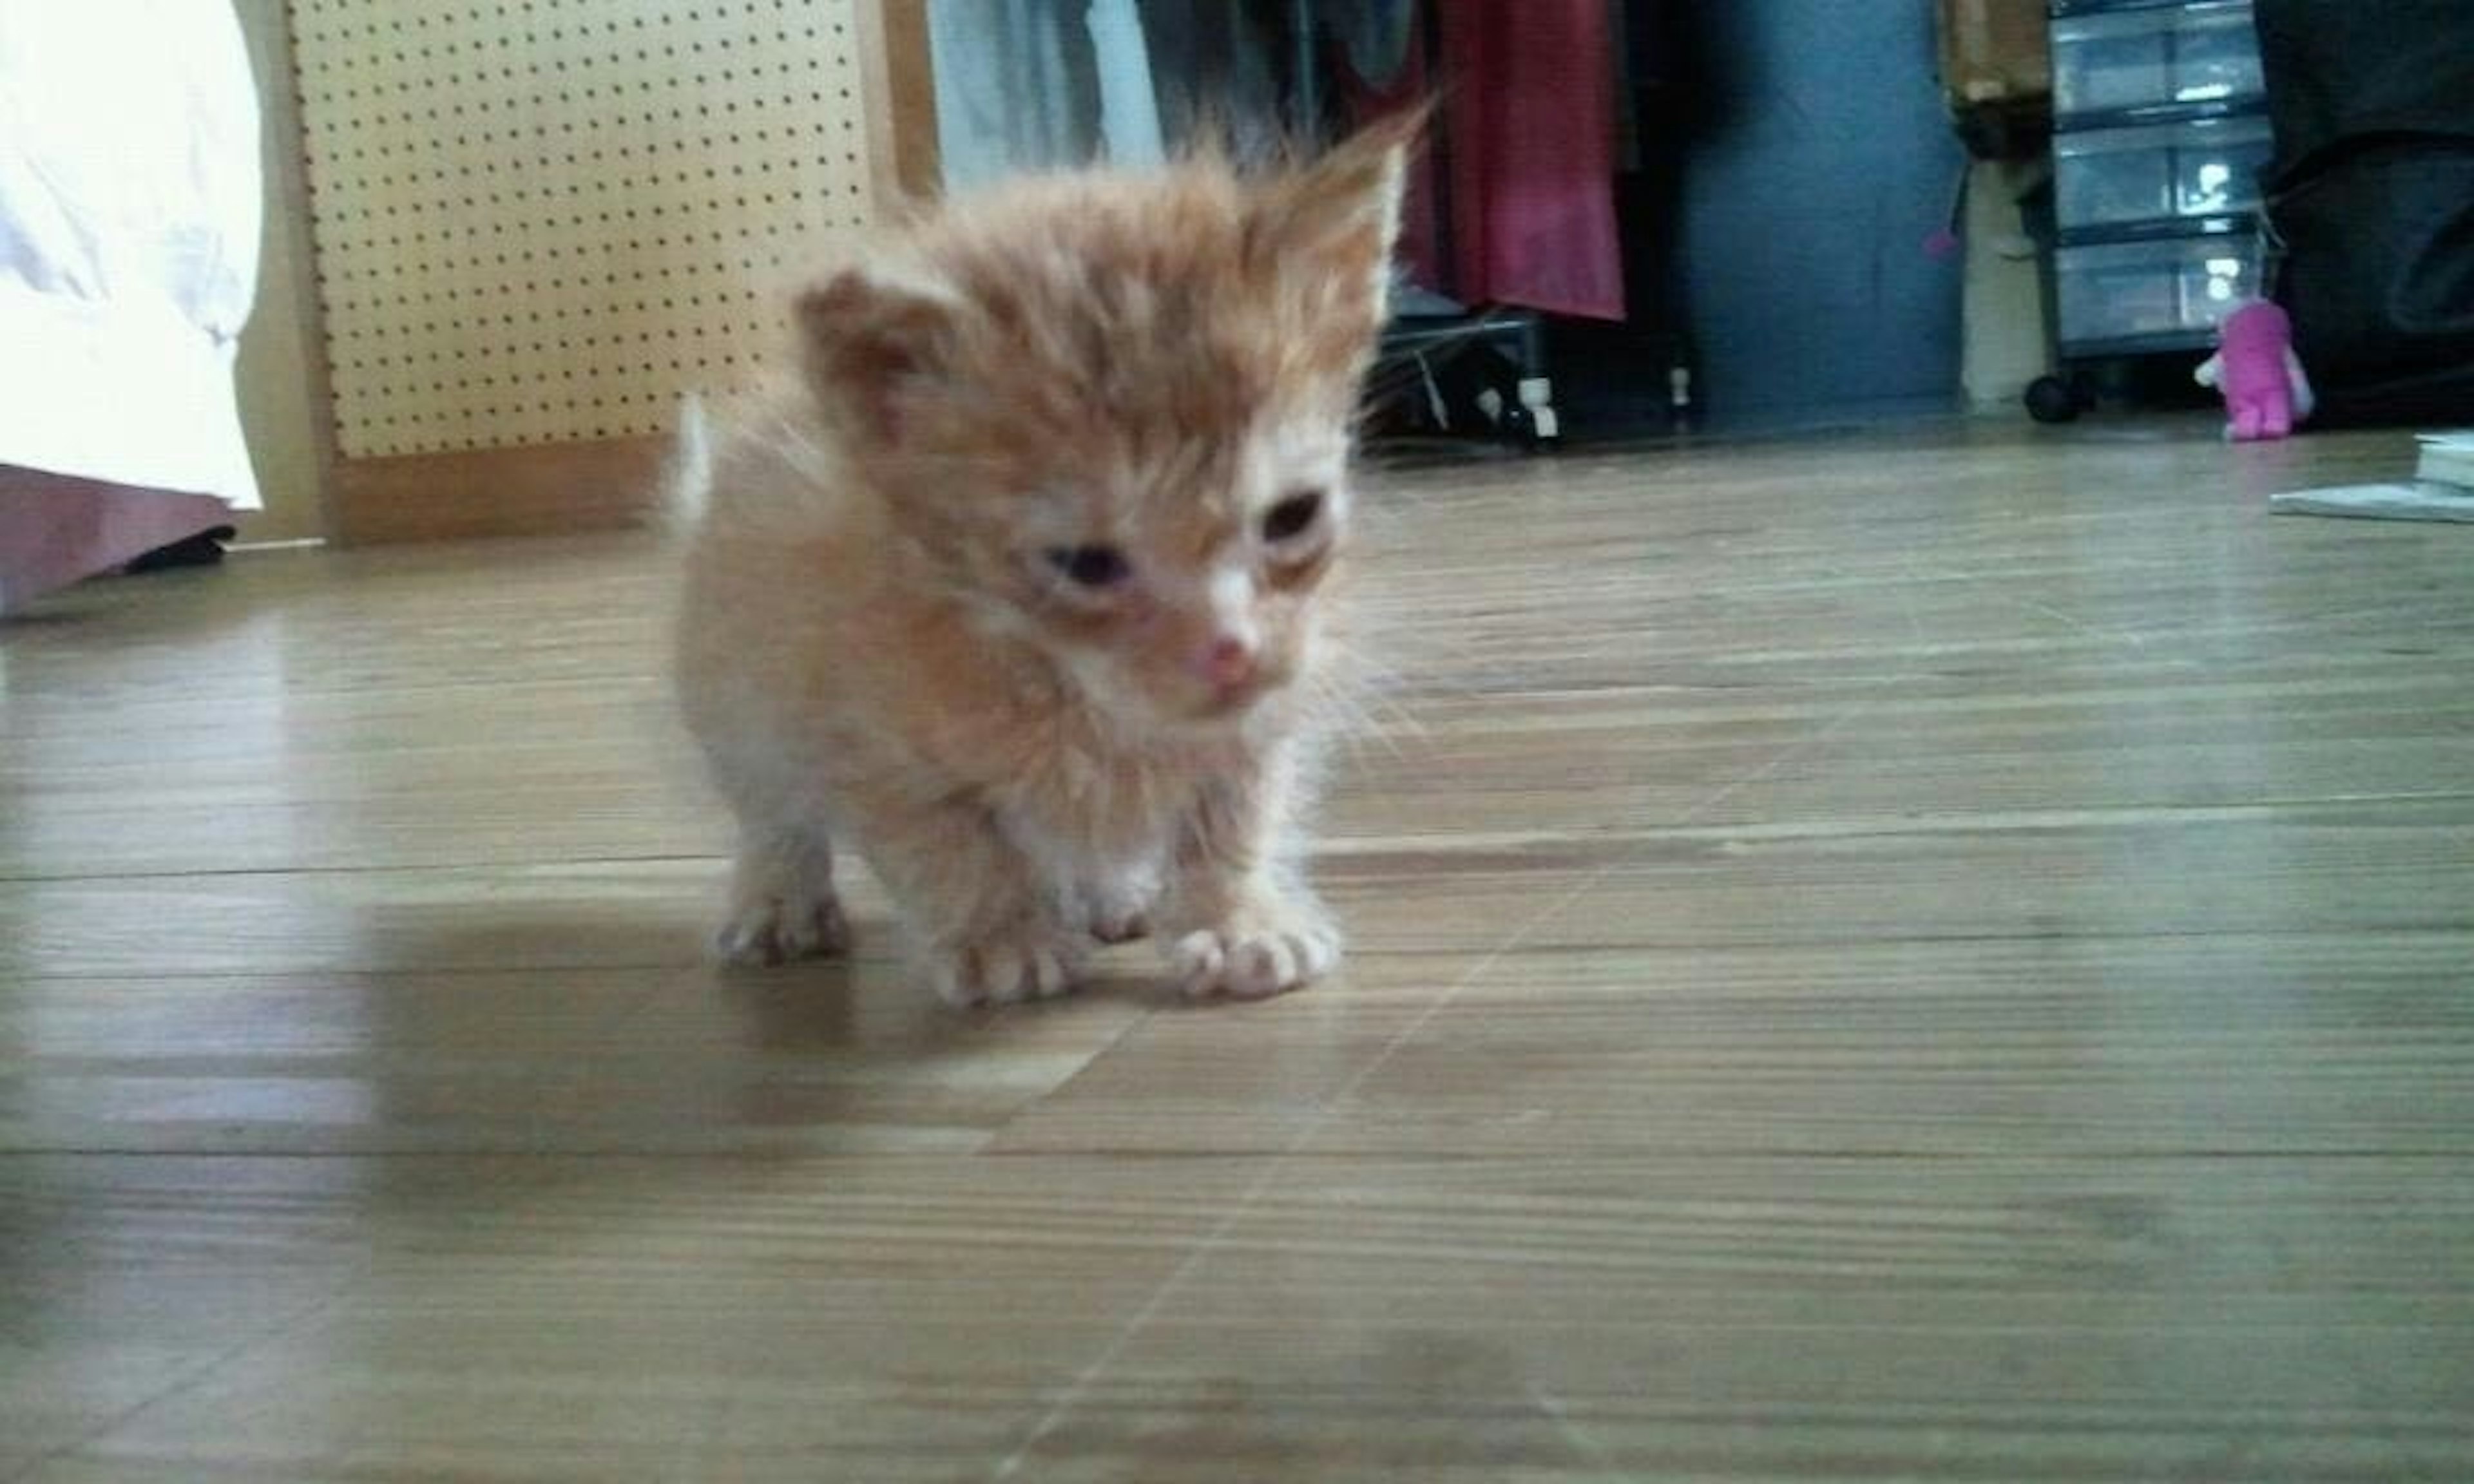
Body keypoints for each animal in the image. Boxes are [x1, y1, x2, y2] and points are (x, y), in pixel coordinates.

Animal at [678, 122, 1415, 1009]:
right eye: (1085, 564)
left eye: (1293, 517)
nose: (1233, 650)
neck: (1065, 685)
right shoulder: (861, 736)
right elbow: (948, 844)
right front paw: (1002, 937)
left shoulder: (1265, 715)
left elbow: (1238, 811)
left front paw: (1238, 921)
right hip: (732, 696)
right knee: (770, 809)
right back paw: (777, 899)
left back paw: (1115, 893)